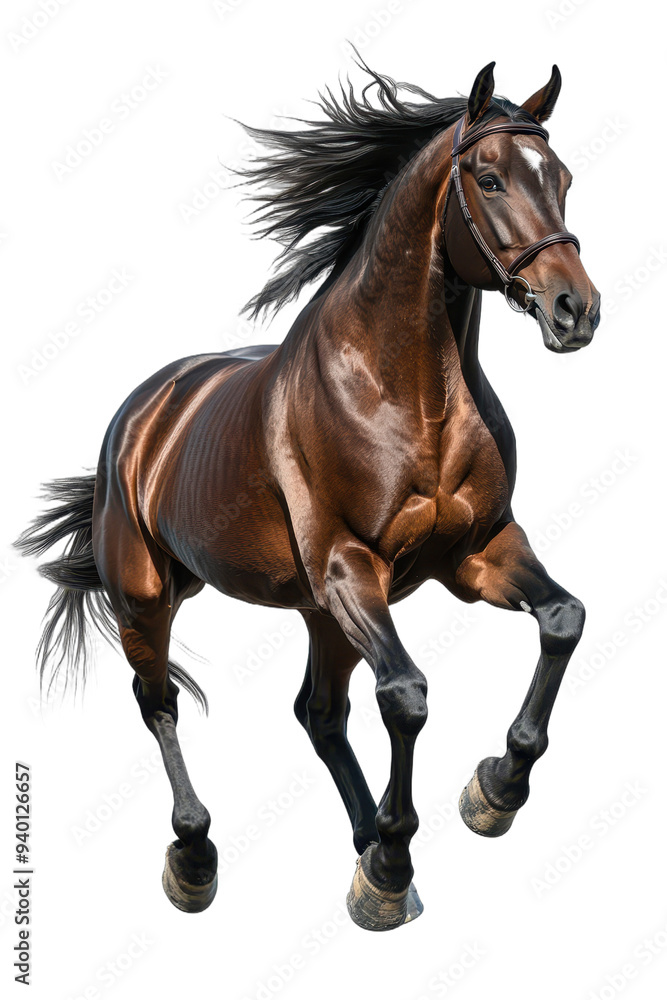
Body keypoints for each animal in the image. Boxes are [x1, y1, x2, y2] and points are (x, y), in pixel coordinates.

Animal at [16, 59, 600, 931]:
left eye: (560, 177)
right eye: (489, 177)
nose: (575, 310)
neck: (407, 396)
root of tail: (145, 409)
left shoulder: (478, 552)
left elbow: (562, 619)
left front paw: (492, 791)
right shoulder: (349, 568)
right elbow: (407, 696)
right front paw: (398, 854)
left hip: (320, 613)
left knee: (317, 713)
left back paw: (368, 857)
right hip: (148, 596)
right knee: (159, 703)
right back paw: (199, 858)